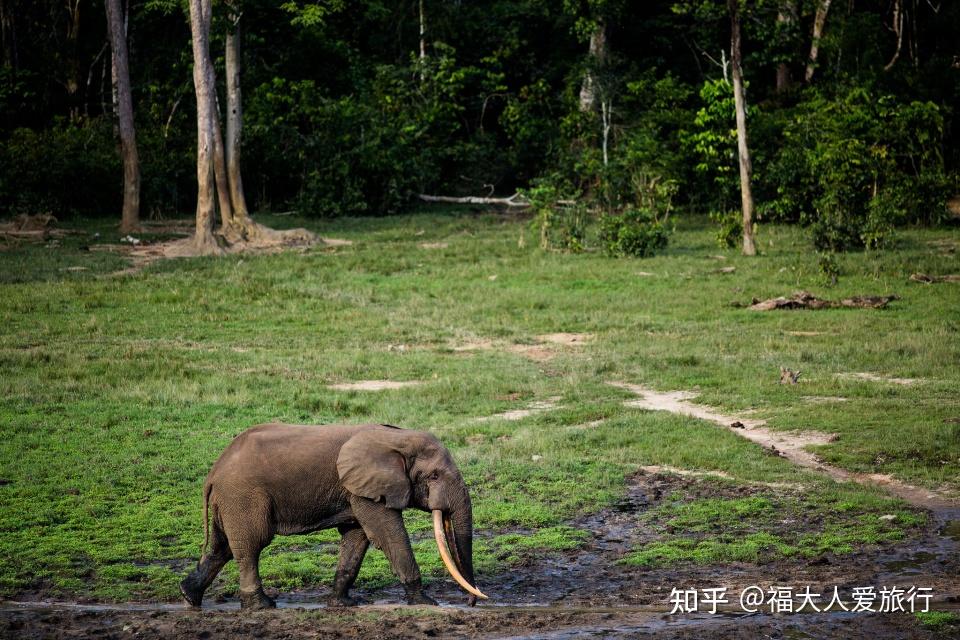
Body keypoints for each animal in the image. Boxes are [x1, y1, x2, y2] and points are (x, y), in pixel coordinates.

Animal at [178, 422, 488, 608]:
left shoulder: (357, 491)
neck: (397, 437)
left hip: (229, 501)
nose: (471, 602)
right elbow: (388, 534)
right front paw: (425, 602)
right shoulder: (364, 488)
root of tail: (213, 472)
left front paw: (342, 604)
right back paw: (262, 606)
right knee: (250, 547)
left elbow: (357, 538)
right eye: (434, 476)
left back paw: (189, 597)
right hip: (243, 496)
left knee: (221, 547)